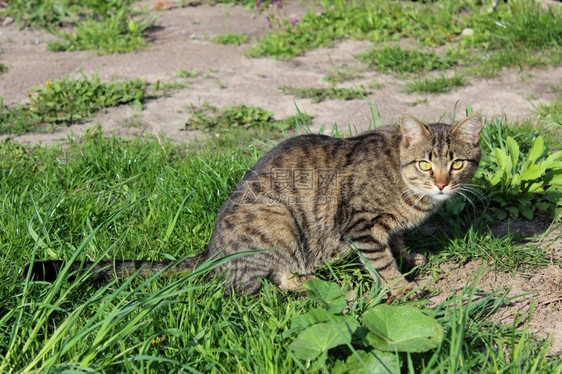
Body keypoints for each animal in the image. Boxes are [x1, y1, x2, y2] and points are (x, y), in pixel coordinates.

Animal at [30, 114, 480, 298]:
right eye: (425, 164)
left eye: (457, 163)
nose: (442, 182)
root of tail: (211, 251)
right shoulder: (359, 225)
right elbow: (381, 262)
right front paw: (401, 288)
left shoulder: (384, 227)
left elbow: (396, 244)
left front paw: (410, 257)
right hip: (278, 221)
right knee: (260, 286)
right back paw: (325, 286)